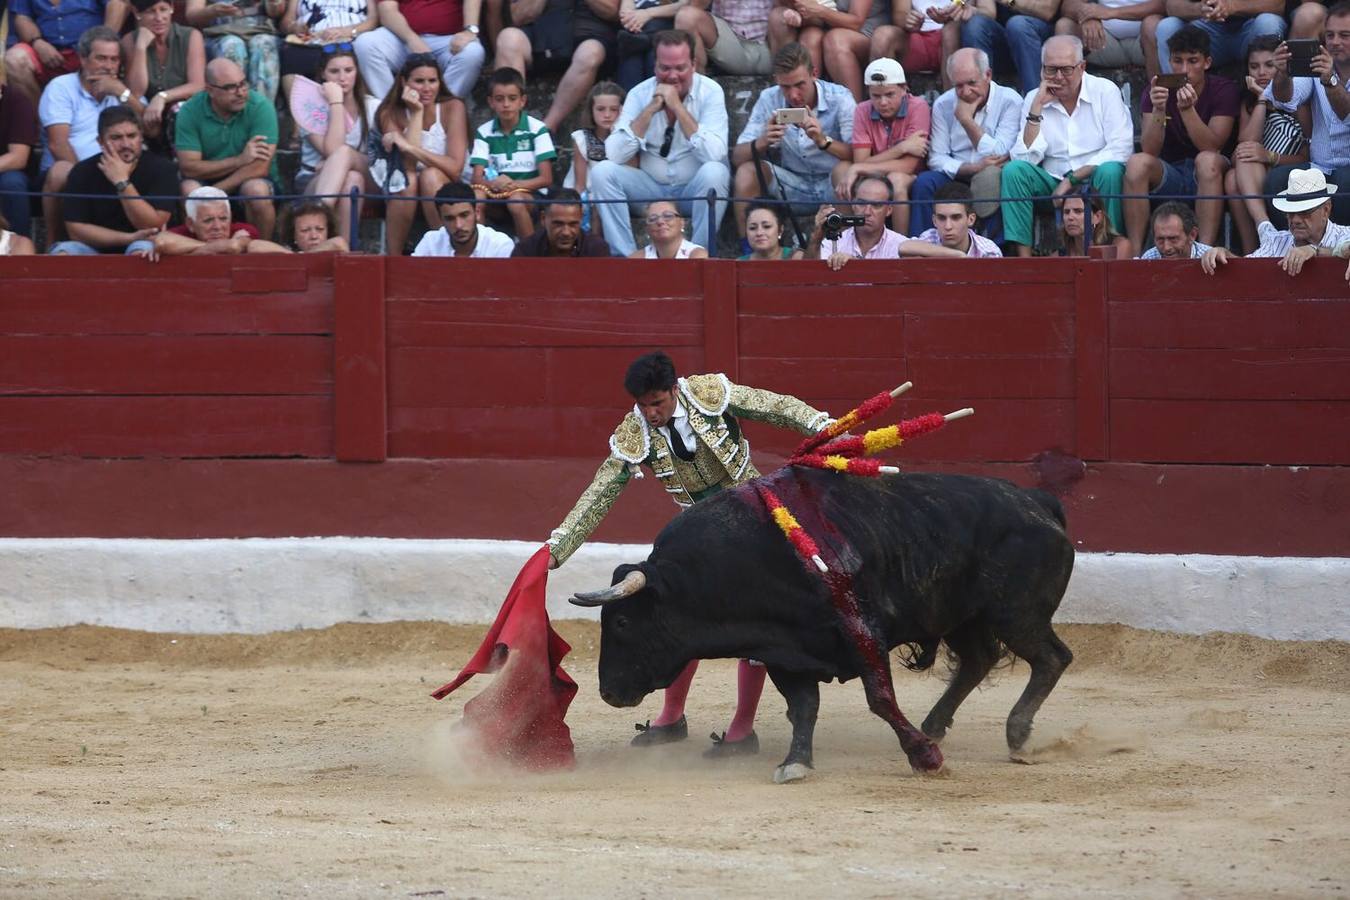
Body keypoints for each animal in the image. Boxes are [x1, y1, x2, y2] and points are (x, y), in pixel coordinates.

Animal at [569, 469, 1074, 782]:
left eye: (622, 621)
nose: (608, 693)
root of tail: (1035, 501)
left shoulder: (861, 631)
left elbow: (880, 698)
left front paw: (925, 759)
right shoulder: (783, 651)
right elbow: (804, 708)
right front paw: (796, 763)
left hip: (1016, 613)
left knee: (1052, 658)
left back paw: (1016, 734)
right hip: (962, 616)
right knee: (978, 660)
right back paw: (935, 724)